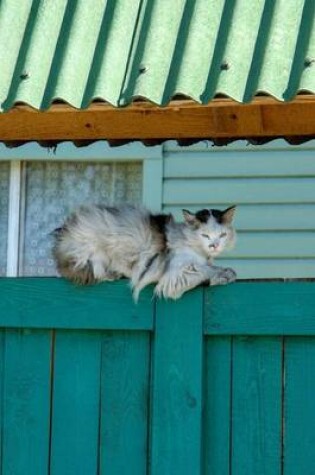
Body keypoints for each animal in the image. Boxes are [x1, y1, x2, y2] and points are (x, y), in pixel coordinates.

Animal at [53, 205, 238, 302]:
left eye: (222, 235)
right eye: (205, 235)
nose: (214, 245)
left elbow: (211, 268)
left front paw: (225, 273)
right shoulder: (176, 274)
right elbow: (204, 271)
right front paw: (224, 275)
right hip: (95, 254)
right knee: (98, 273)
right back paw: (113, 274)